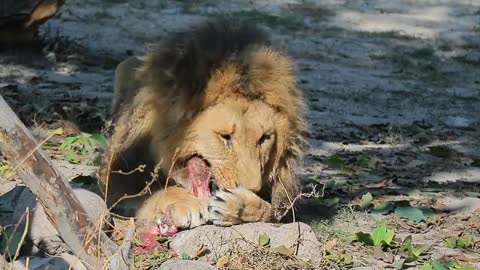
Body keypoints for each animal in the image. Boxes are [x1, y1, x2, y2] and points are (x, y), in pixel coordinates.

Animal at [99, 19, 306, 230]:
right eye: (225, 137)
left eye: (264, 138)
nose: (253, 189)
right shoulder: (117, 170)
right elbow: (146, 193)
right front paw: (185, 203)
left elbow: (271, 210)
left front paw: (238, 205)